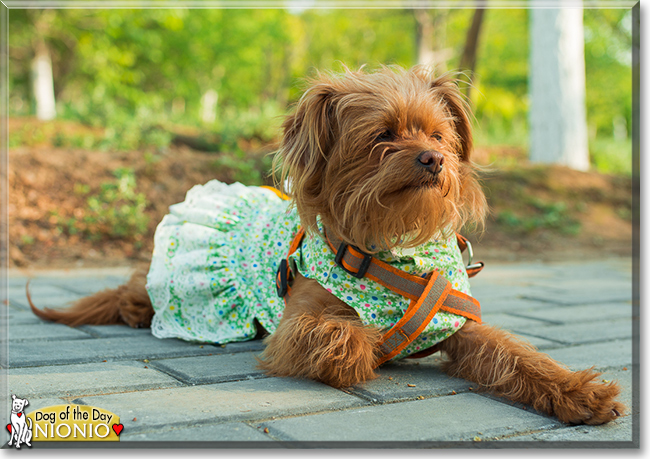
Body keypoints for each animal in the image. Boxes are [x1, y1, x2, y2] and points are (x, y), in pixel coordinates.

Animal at [29, 66, 624, 426]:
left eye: (438, 135)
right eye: (383, 137)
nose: (434, 158)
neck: (389, 247)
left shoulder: (458, 326)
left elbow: (518, 356)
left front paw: (577, 391)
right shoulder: (293, 326)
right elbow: (337, 332)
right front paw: (365, 343)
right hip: (171, 286)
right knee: (135, 293)